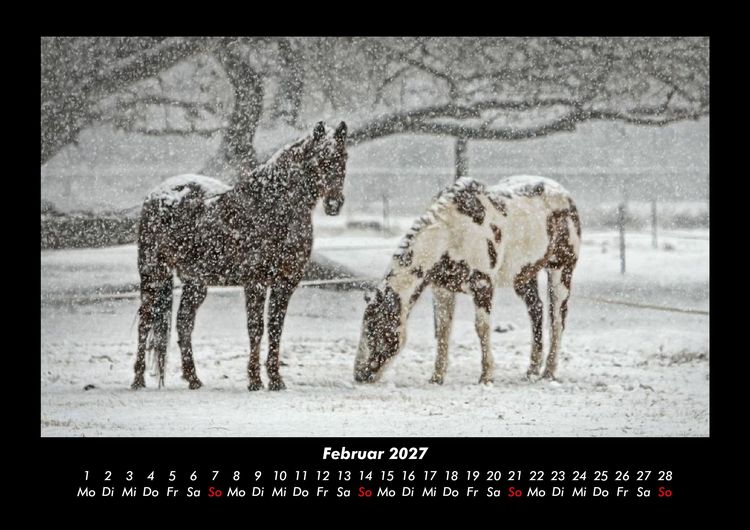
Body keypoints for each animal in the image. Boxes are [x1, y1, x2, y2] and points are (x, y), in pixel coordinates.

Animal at [131, 120, 348, 391]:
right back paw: (138, 379)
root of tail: (157, 195)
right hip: (153, 273)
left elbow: (275, 328)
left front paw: (276, 379)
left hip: (195, 283)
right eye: (319, 159)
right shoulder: (255, 282)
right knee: (145, 321)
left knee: (183, 323)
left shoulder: (285, 283)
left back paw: (193, 379)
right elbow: (256, 329)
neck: (273, 208)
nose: (334, 204)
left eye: (343, 157)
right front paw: (254, 380)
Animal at [354, 175, 581, 385]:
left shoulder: (482, 286)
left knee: (557, 319)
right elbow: (443, 330)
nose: (359, 375)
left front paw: (486, 376)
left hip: (561, 270)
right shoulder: (443, 289)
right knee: (536, 311)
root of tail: (565, 194)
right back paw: (532, 371)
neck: (450, 234)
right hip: (524, 276)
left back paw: (549, 372)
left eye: (376, 329)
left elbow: (481, 328)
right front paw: (437, 377)